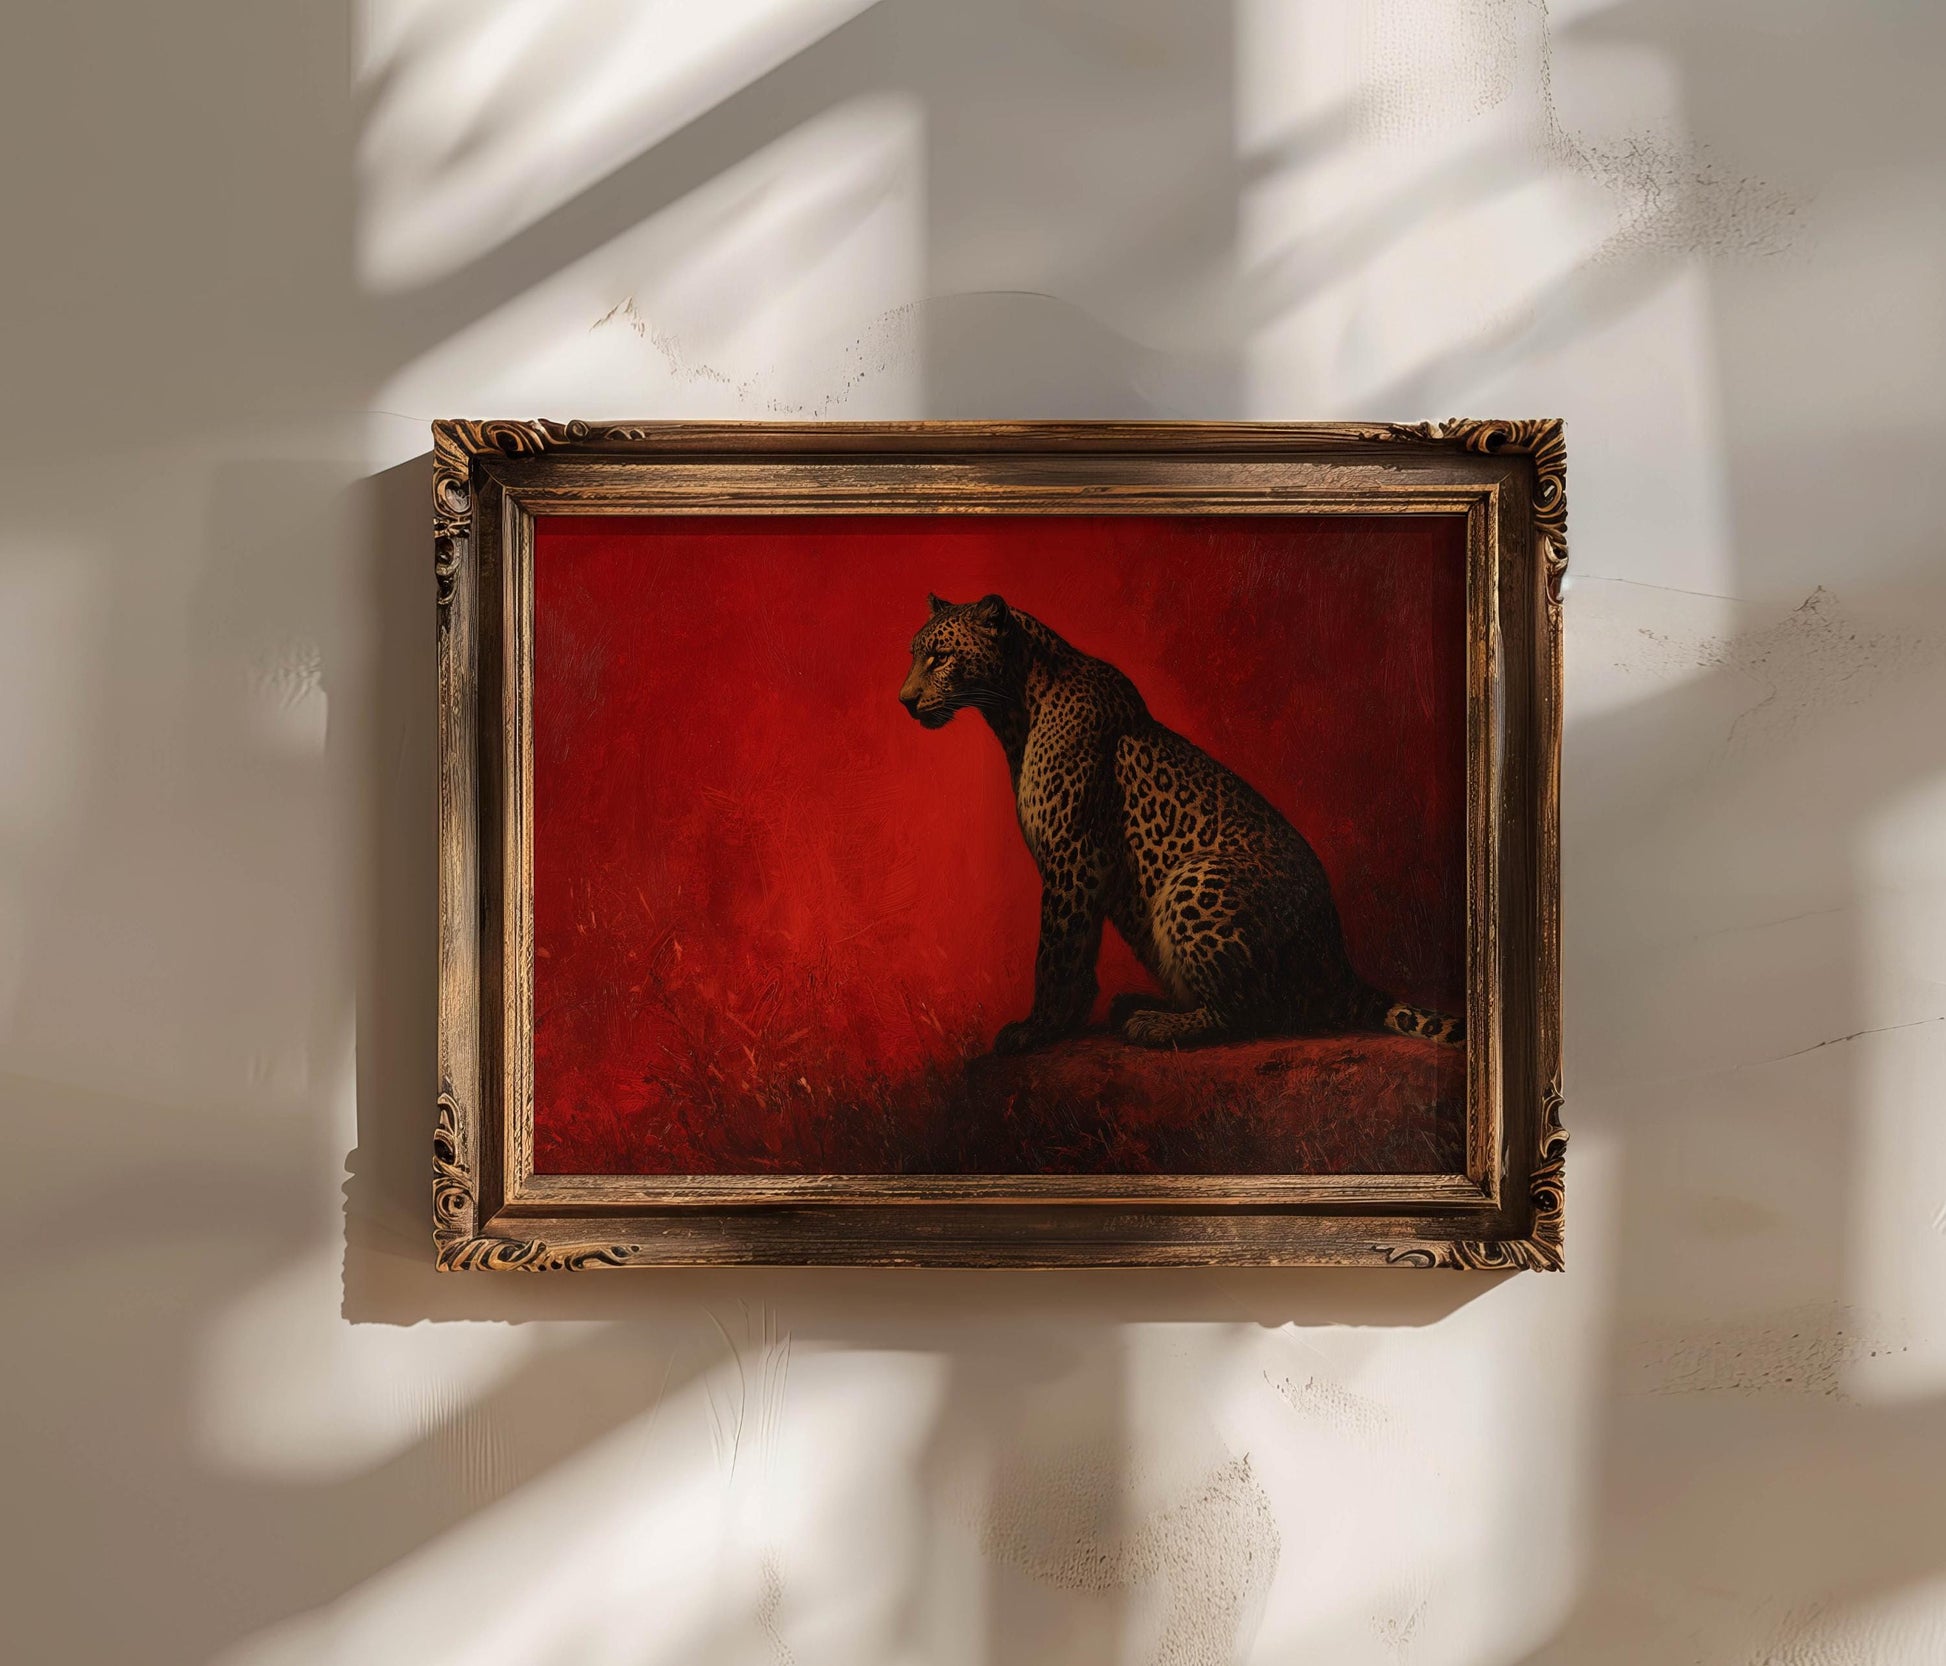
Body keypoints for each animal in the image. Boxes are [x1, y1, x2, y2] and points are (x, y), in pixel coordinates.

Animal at [898, 592, 1465, 1055]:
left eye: (940, 656)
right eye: (914, 653)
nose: (904, 701)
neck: (1018, 706)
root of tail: (1342, 969)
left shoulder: (1075, 856)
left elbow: (1057, 953)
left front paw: (1039, 1028)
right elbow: (1076, 952)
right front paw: (1063, 1021)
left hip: (1199, 875)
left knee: (1254, 1012)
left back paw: (1156, 1024)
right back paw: (1137, 1004)